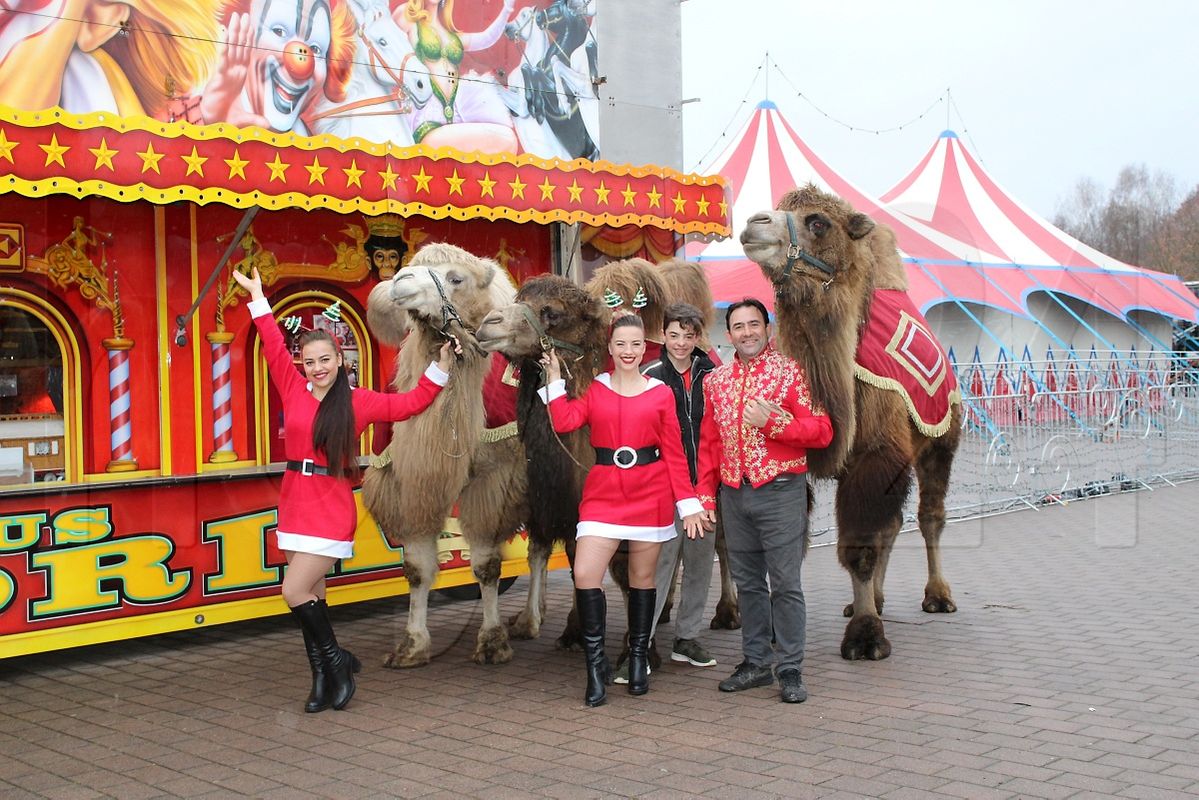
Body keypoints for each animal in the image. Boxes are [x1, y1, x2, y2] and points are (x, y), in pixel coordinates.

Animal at [362, 242, 527, 671]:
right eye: (413, 266)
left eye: (456, 278)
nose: (400, 281)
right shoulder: (411, 480)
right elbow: (417, 568)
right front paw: (412, 645)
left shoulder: (493, 480)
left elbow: (486, 565)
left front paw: (491, 641)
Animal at [738, 184, 963, 662]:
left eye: (818, 221)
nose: (753, 223)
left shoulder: (875, 453)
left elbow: (859, 547)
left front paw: (865, 636)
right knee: (892, 525)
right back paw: (875, 599)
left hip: (941, 440)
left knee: (929, 517)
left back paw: (937, 596)